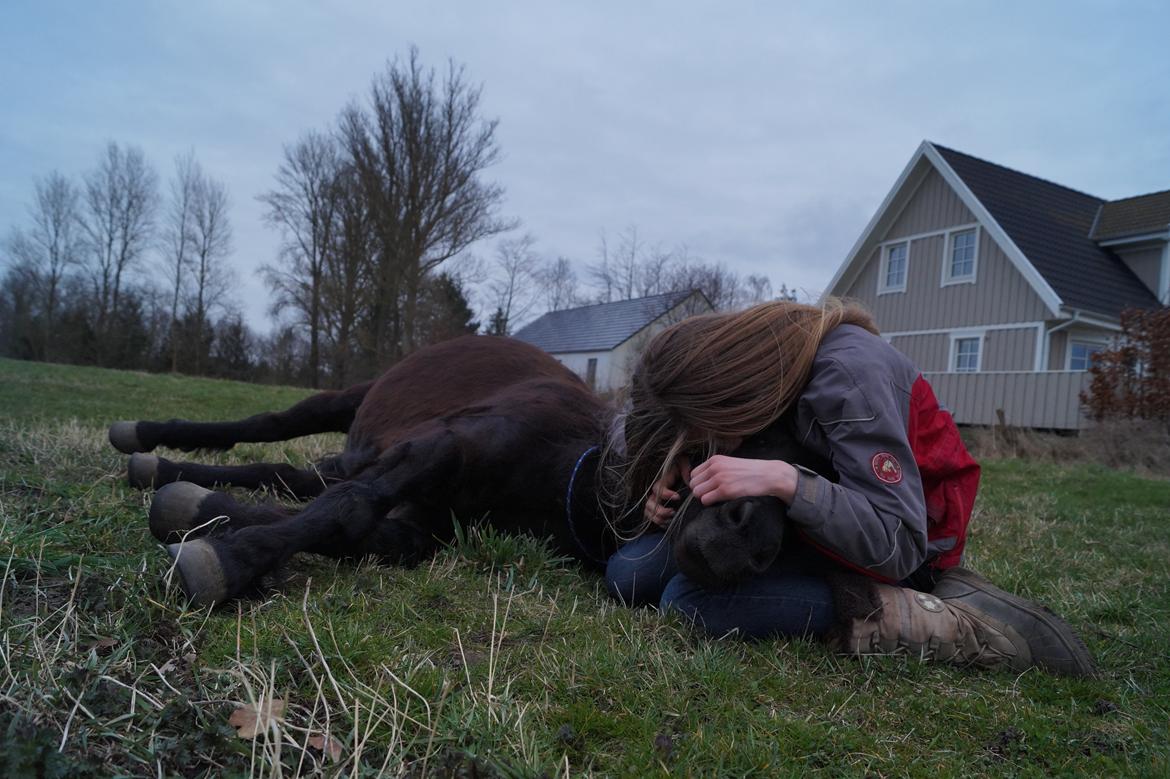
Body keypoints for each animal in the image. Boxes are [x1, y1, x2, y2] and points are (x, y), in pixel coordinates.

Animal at [109, 334, 790, 608]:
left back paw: (168, 474)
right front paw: (231, 559)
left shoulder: (422, 519)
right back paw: (148, 438)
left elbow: (356, 529)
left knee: (295, 473)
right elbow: (348, 510)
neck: (571, 474)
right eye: (751, 439)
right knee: (269, 427)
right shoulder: (443, 448)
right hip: (346, 403)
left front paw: (204, 515)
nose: (753, 542)